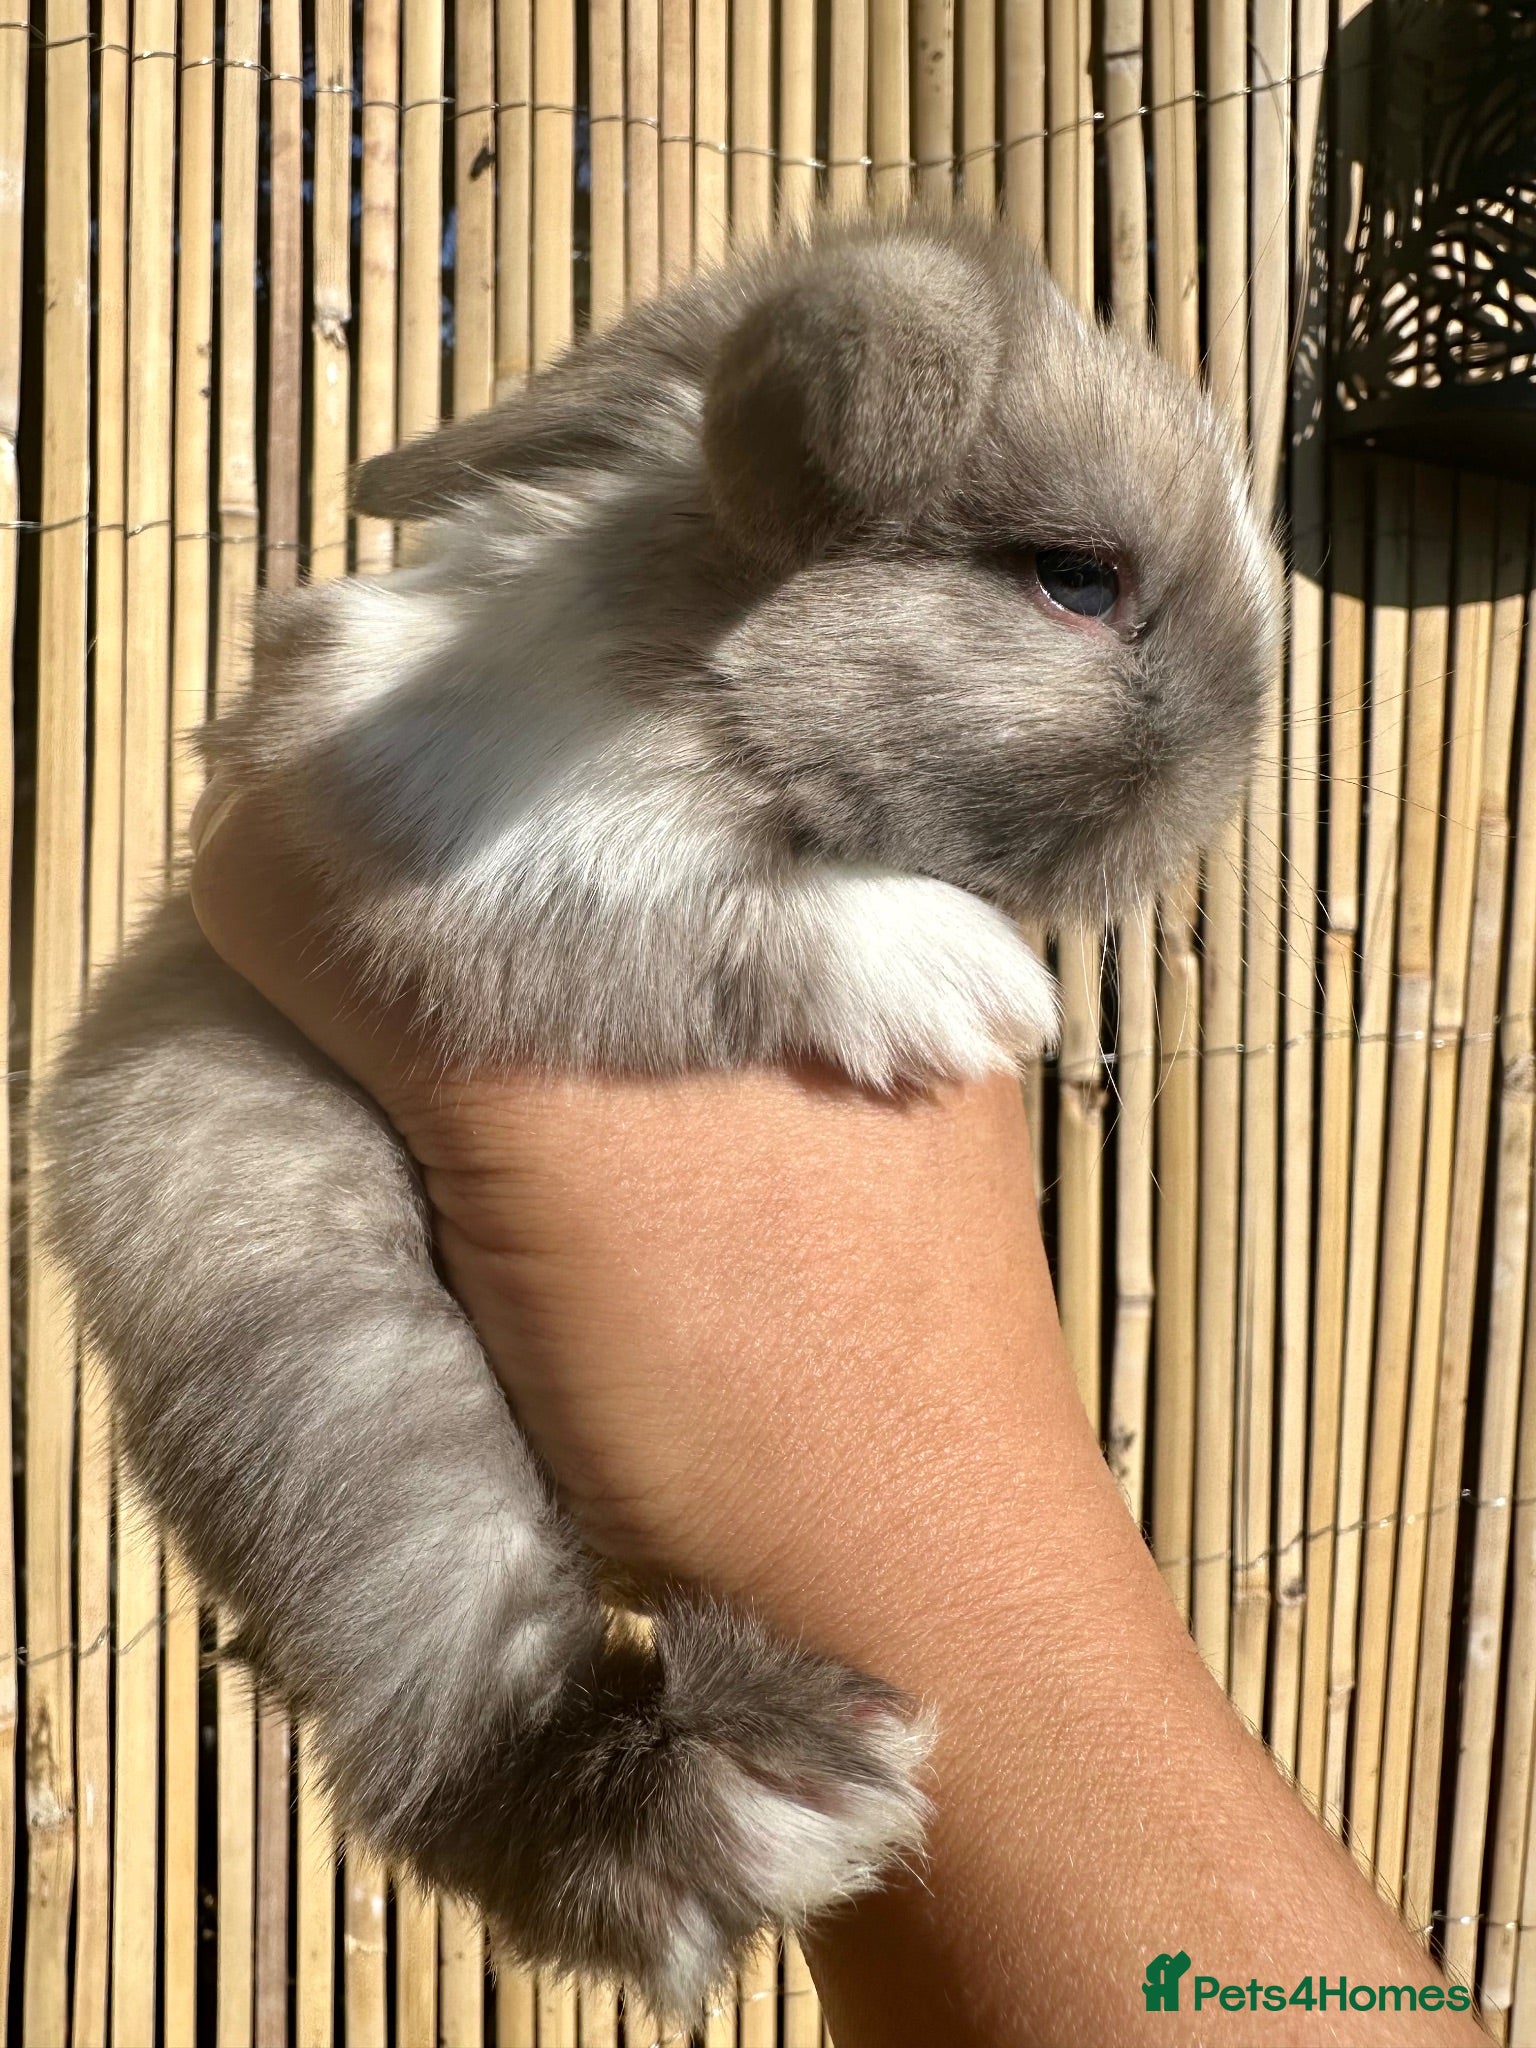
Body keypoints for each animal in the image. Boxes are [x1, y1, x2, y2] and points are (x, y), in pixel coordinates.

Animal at [37, 211, 1278, 2018]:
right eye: (1075, 579)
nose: (1218, 798)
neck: (694, 668)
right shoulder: (487, 879)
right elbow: (726, 930)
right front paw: (972, 985)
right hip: (331, 1353)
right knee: (446, 1702)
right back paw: (757, 1802)